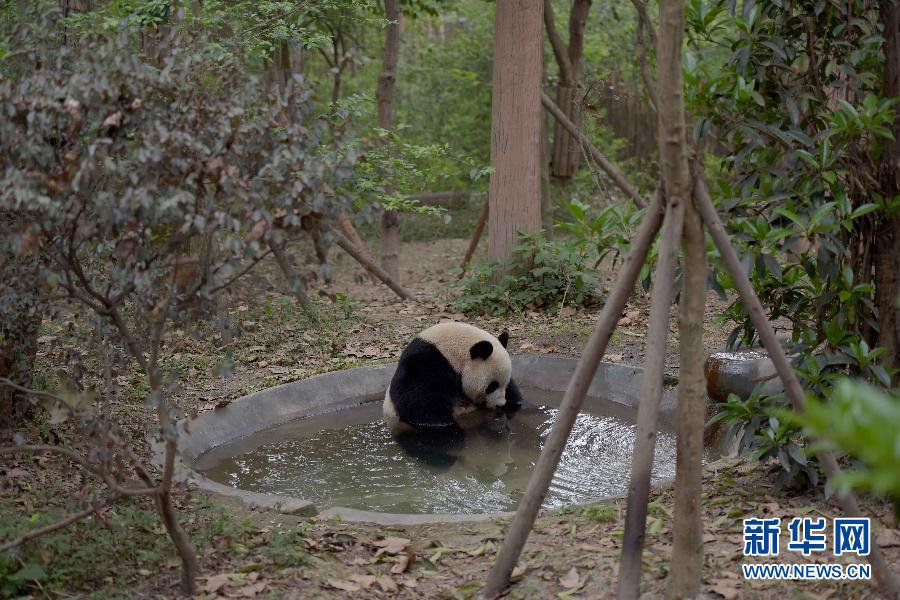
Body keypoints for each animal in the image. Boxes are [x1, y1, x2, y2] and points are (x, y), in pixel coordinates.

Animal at [382, 322, 524, 466]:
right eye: (492, 386)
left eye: (504, 384)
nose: (500, 404)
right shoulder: (424, 365)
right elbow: (421, 408)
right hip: (404, 429)